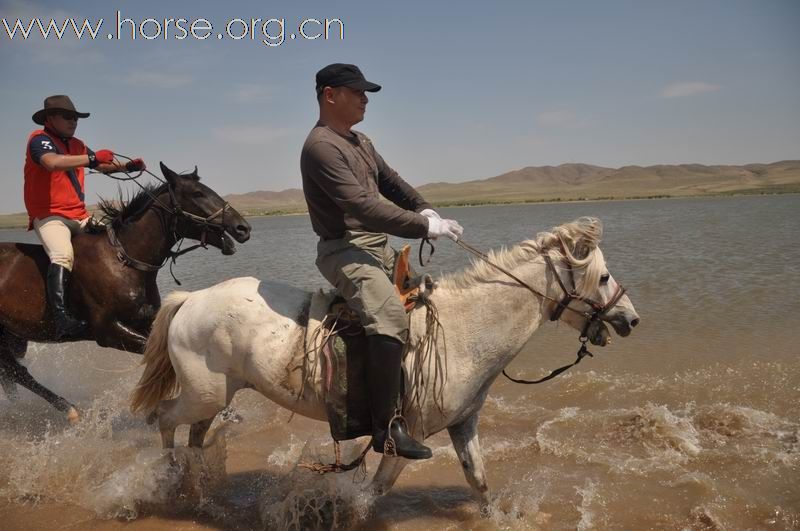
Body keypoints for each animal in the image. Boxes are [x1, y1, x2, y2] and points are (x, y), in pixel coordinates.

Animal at [0, 164, 250, 422]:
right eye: (197, 193)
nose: (243, 227)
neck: (123, 260)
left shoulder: (144, 320)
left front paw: (224, 411)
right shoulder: (107, 331)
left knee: (12, 373)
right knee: (18, 373)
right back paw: (69, 410)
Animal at [134, 217, 640, 512]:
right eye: (604, 276)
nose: (631, 319)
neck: (463, 331)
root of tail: (191, 299)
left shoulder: (463, 425)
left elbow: (480, 483)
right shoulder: (407, 437)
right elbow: (371, 495)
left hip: (215, 396)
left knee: (194, 436)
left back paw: (201, 489)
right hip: (202, 394)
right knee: (165, 420)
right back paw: (172, 481)